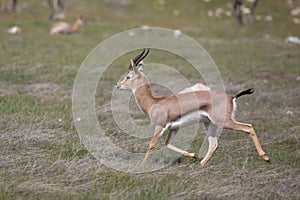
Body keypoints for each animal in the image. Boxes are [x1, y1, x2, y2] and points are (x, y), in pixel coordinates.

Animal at [115, 48, 270, 166]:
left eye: (128, 77)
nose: (117, 84)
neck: (154, 102)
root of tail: (231, 97)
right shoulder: (174, 127)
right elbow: (167, 143)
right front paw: (194, 155)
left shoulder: (160, 126)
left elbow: (152, 144)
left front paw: (141, 165)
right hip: (210, 123)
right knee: (214, 144)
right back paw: (201, 163)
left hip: (224, 122)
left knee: (248, 127)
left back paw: (266, 157)